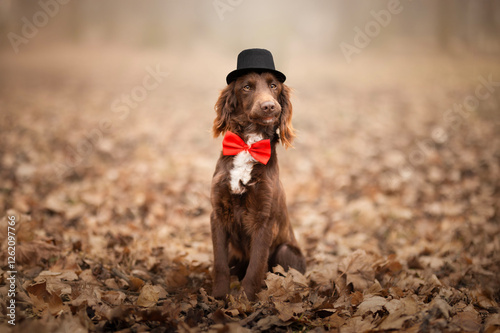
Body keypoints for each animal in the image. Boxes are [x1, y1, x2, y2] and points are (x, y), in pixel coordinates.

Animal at [208, 49, 304, 300]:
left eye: (273, 86)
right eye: (246, 87)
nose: (270, 106)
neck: (249, 145)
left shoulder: (264, 219)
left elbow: (256, 265)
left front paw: (244, 300)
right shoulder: (217, 213)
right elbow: (220, 263)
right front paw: (219, 297)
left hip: (285, 250)